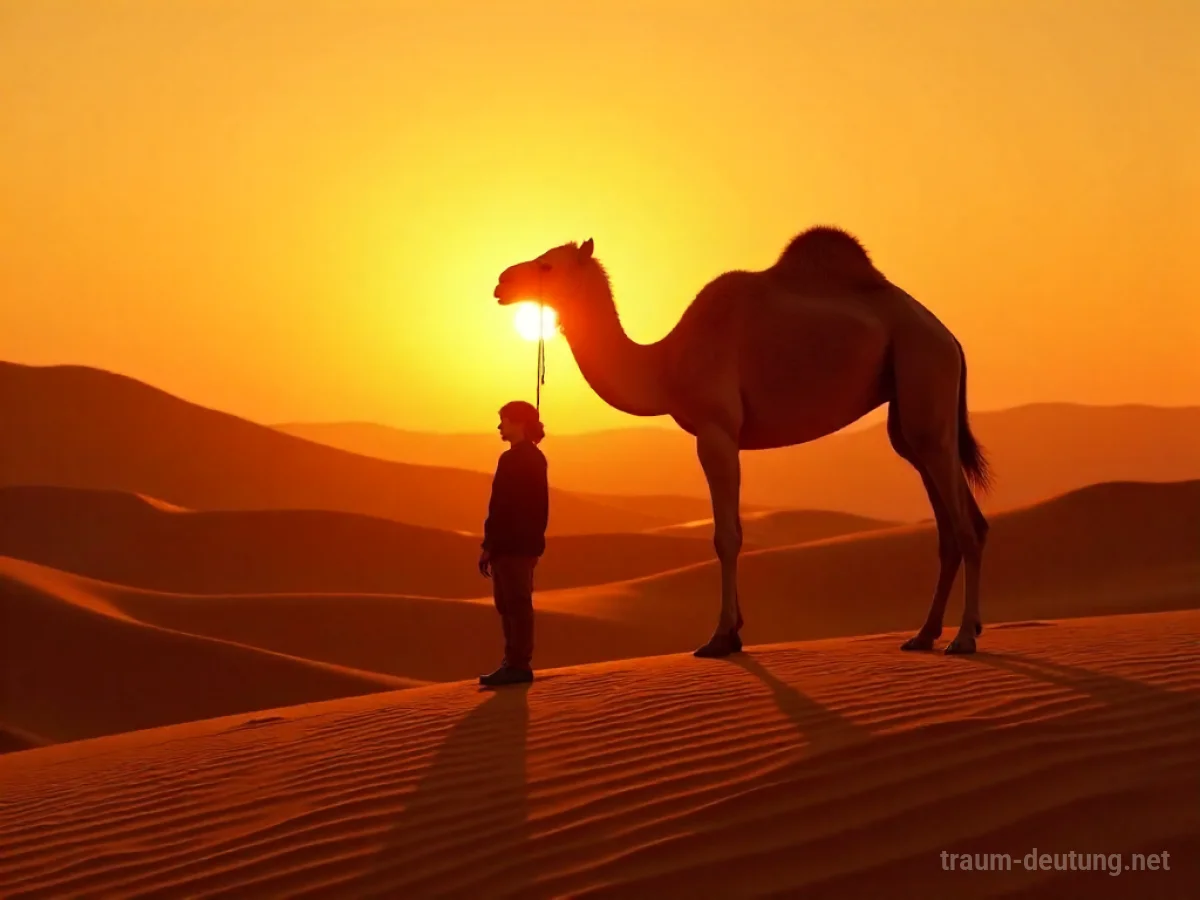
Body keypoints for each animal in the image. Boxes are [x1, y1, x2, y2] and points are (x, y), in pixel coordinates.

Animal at [493, 227, 992, 656]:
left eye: (548, 266)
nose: (502, 281)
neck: (664, 364)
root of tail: (951, 338)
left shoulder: (716, 429)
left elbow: (726, 536)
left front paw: (719, 637)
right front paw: (733, 631)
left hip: (924, 367)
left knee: (964, 521)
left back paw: (964, 637)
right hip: (909, 409)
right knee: (950, 518)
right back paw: (925, 634)